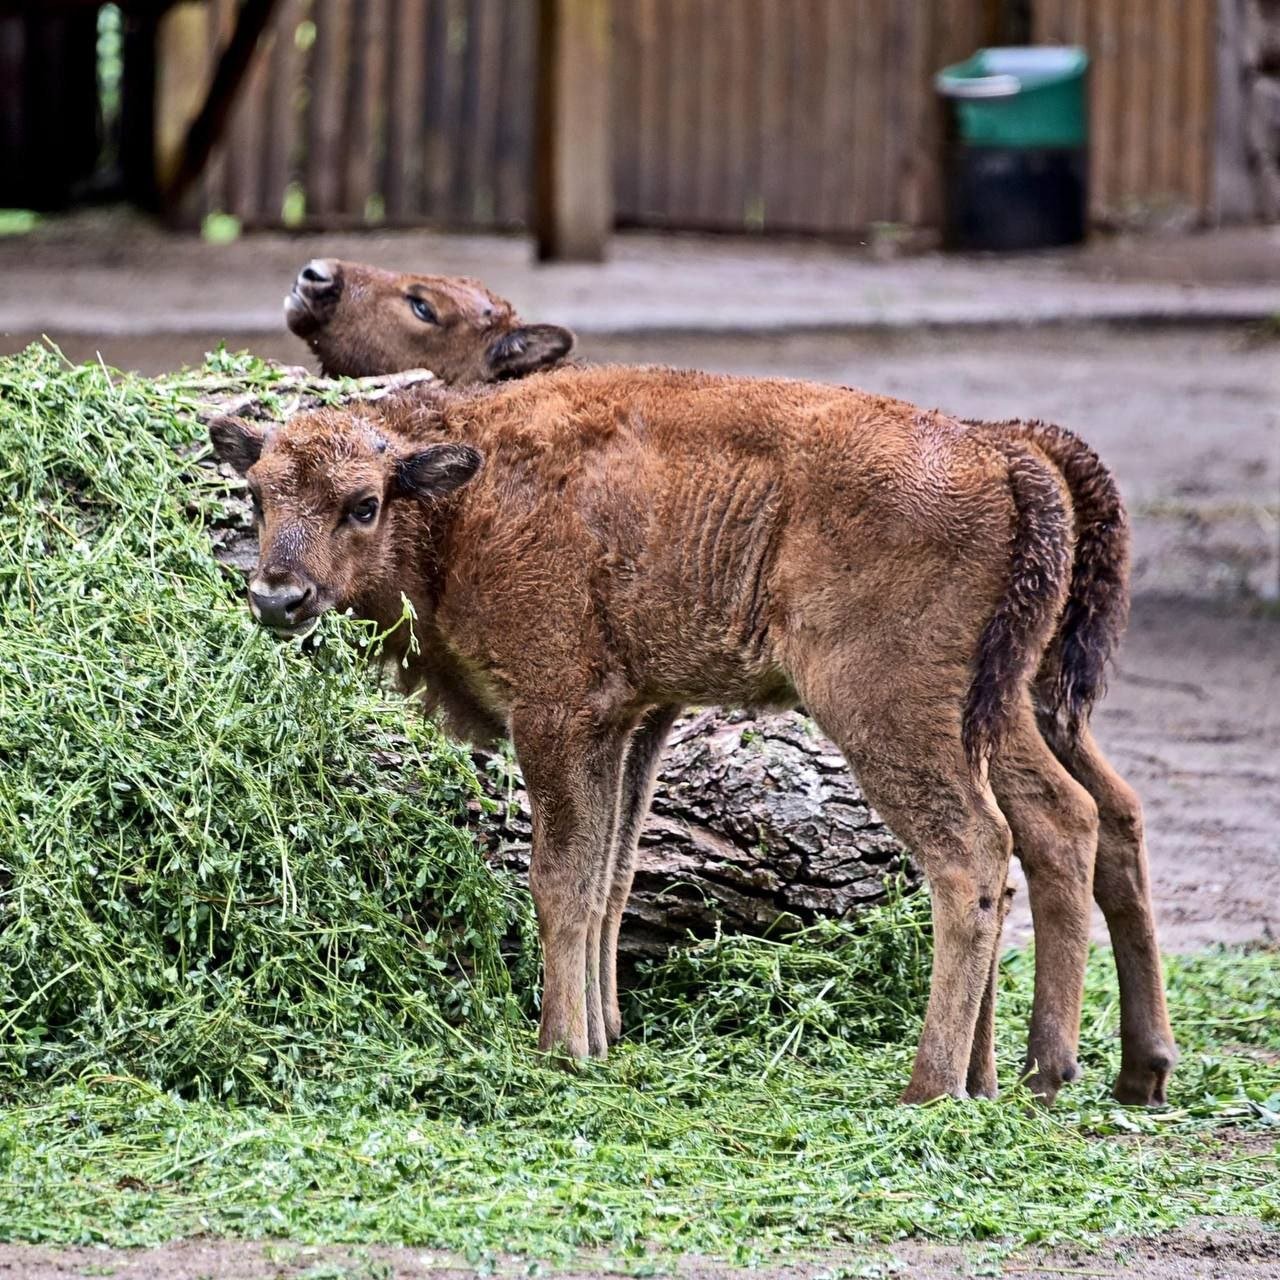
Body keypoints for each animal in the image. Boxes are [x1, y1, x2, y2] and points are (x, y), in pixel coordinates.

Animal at [212, 366, 1141, 1105]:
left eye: (363, 505)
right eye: (258, 495)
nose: (278, 597)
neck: (464, 498)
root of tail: (998, 456)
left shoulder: (556, 714)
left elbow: (560, 880)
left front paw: (561, 1049)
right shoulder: (634, 719)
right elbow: (611, 878)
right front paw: (604, 1034)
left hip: (888, 711)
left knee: (974, 853)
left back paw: (935, 1086)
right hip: (996, 707)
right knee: (1067, 821)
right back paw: (1041, 1075)